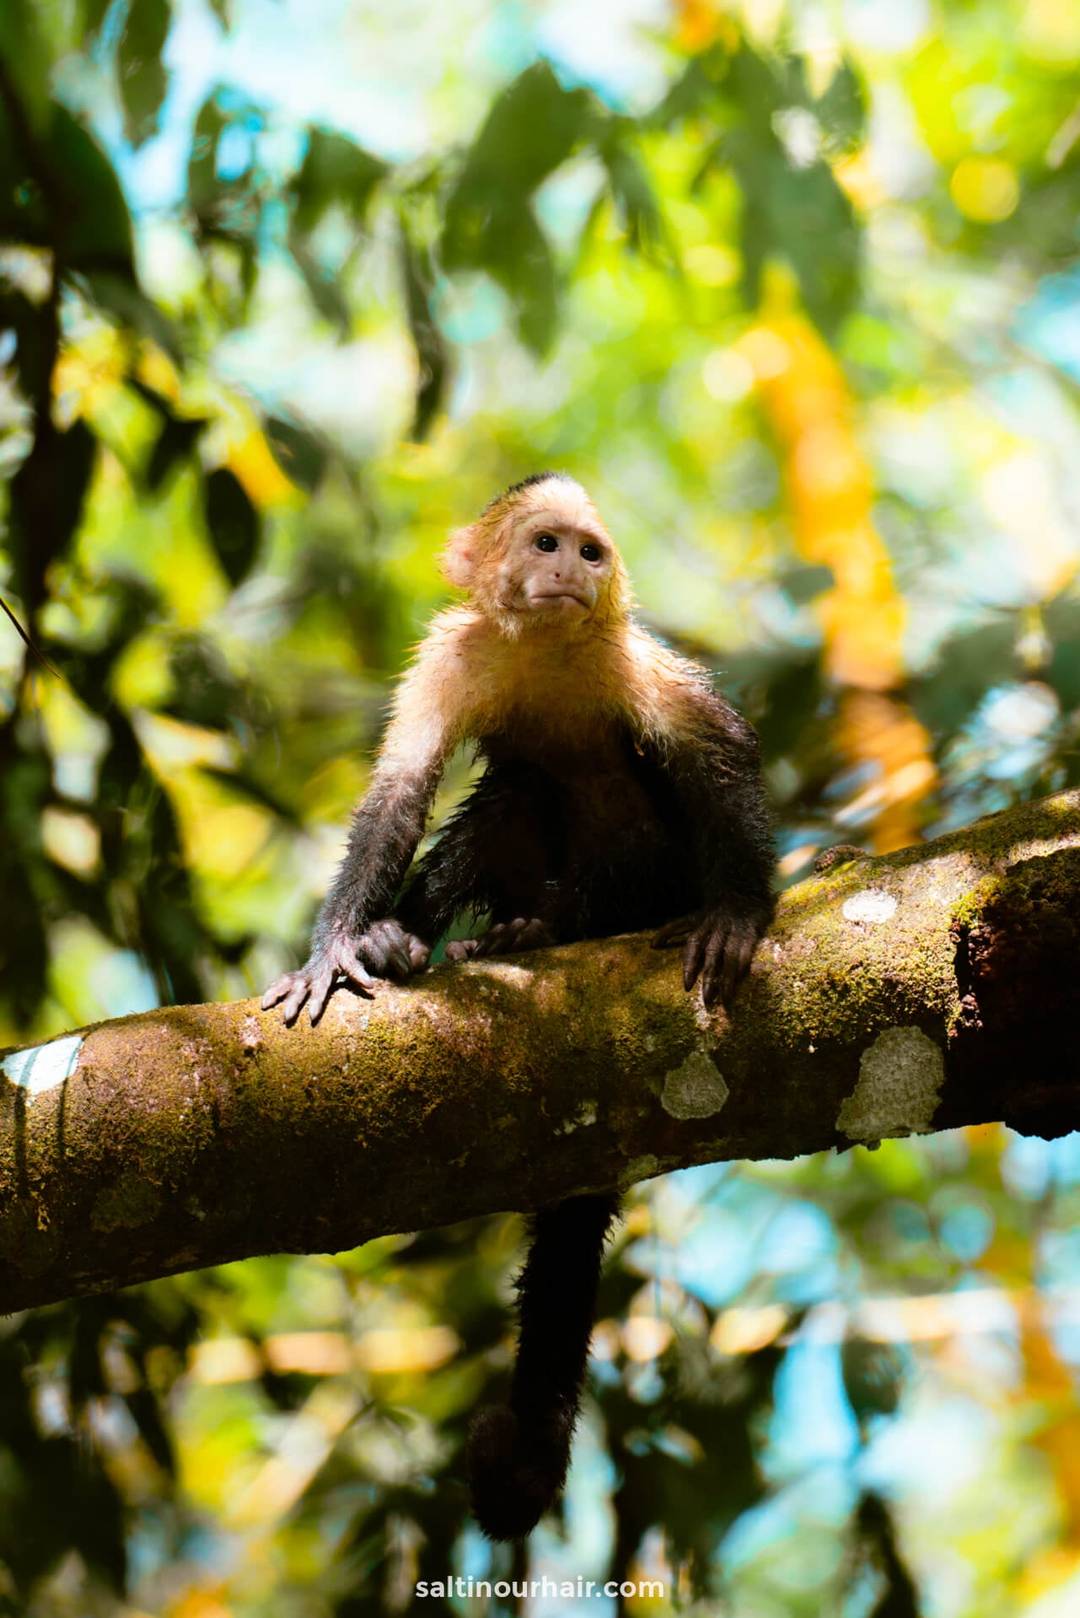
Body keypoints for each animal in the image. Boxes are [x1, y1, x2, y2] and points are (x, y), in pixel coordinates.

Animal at [262, 471, 775, 1540]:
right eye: (546, 543)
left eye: (590, 551)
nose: (571, 571)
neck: (546, 650)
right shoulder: (452, 654)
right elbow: (400, 791)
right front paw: (338, 946)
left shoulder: (630, 660)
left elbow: (715, 754)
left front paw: (742, 910)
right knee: (511, 797)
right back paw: (420, 940)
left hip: (645, 882)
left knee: (624, 822)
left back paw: (550, 929)